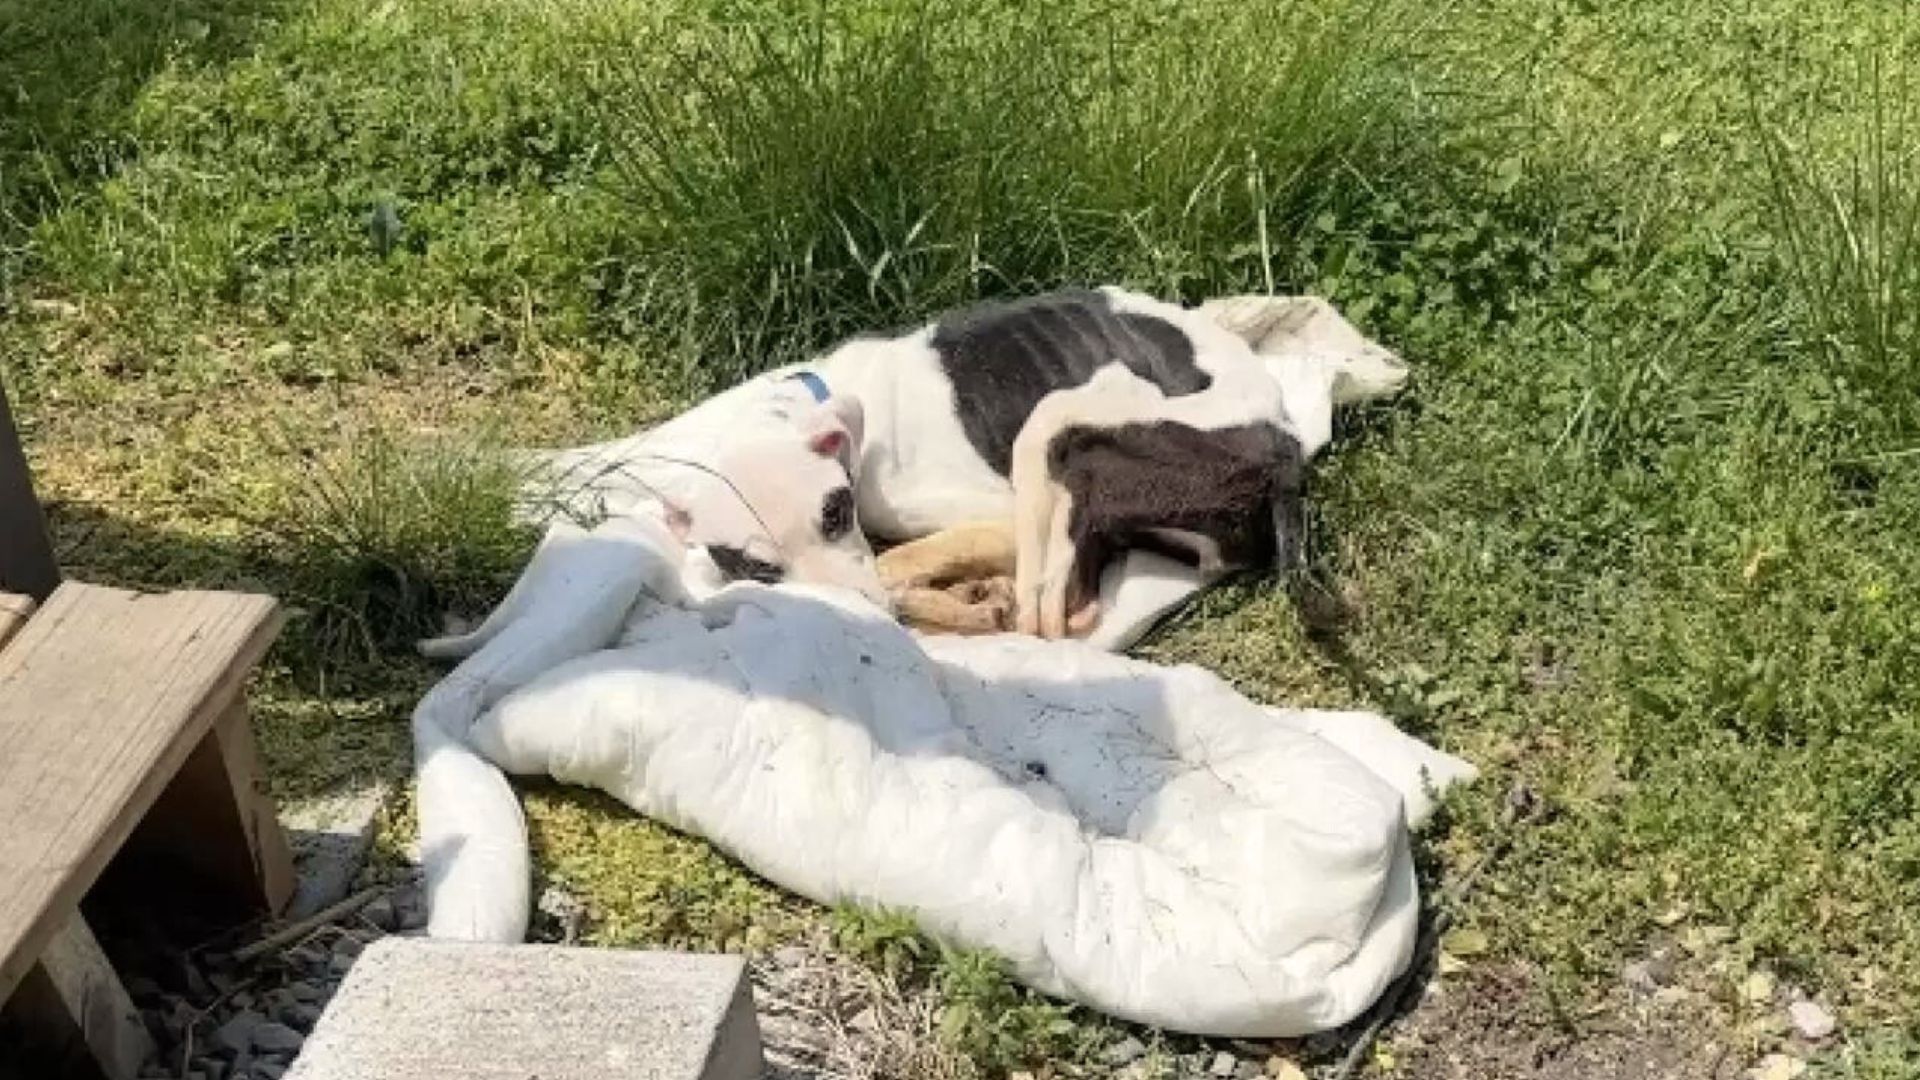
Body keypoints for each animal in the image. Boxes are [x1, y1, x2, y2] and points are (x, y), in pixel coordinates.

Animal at [533, 282, 1405, 641]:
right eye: (753, 568)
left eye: (834, 512)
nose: (866, 626)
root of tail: (1285, 452)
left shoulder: (985, 517)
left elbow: (896, 565)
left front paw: (939, 600)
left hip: (1063, 426)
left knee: (1047, 618)